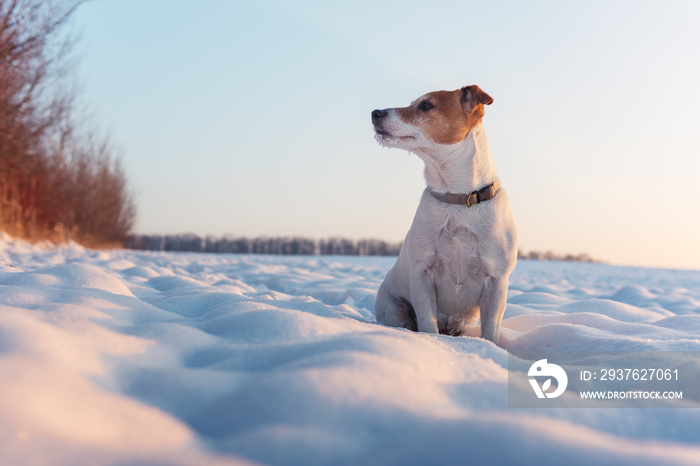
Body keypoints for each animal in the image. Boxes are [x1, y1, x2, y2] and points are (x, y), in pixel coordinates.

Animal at [372, 85, 520, 344]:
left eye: (426, 105)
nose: (375, 113)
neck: (457, 200)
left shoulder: (497, 281)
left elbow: (491, 329)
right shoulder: (422, 274)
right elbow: (427, 323)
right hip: (395, 308)